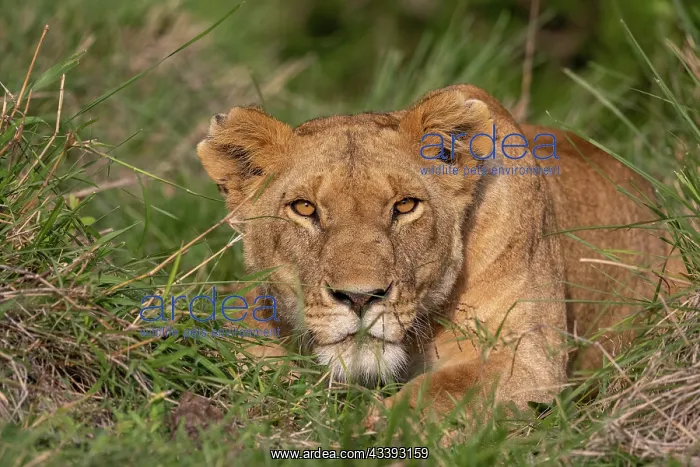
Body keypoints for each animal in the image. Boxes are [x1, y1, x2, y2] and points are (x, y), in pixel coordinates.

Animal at [196, 84, 670, 419]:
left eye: (405, 206)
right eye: (305, 208)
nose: (360, 298)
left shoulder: (528, 360)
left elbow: (438, 395)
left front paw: (370, 431)